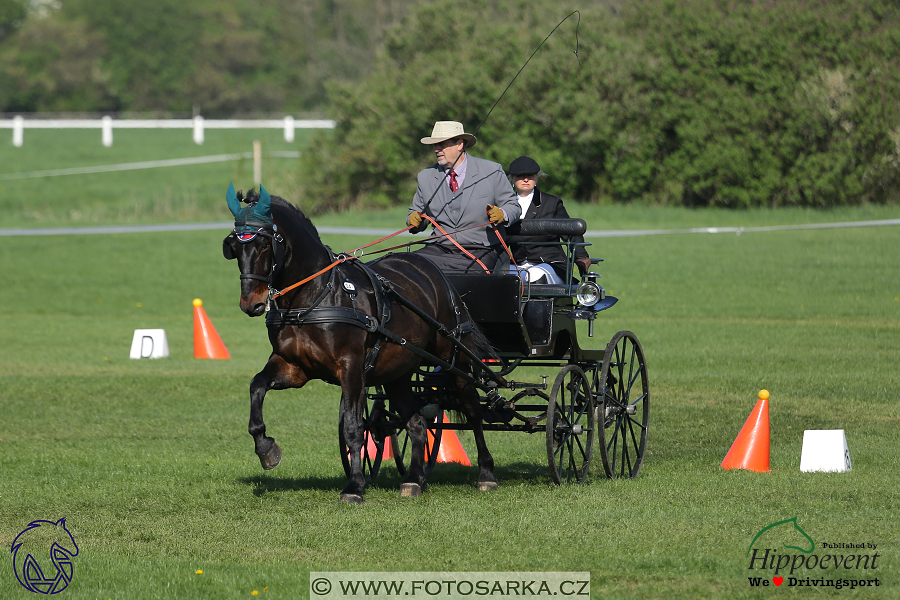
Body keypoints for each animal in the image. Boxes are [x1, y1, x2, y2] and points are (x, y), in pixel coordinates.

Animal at [220, 184, 500, 502]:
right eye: (234, 247)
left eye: (265, 244)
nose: (250, 304)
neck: (314, 296)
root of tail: (433, 272)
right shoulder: (293, 367)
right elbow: (256, 387)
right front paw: (266, 449)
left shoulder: (351, 367)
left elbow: (354, 428)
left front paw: (354, 485)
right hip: (398, 373)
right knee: (417, 423)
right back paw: (414, 479)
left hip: (455, 359)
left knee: (473, 411)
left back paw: (486, 473)